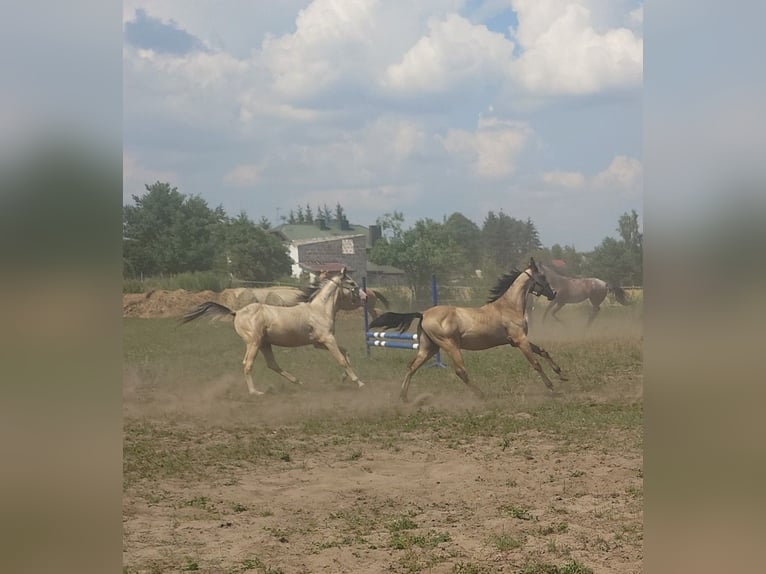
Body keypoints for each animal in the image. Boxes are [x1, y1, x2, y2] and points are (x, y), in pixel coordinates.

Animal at [180, 268, 364, 396]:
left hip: (264, 344)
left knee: (272, 364)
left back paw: (298, 381)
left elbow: (345, 353)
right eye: (352, 284)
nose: (364, 296)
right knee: (248, 364)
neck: (319, 310)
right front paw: (358, 381)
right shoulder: (327, 339)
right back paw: (255, 392)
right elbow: (341, 358)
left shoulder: (319, 342)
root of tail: (236, 312)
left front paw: (344, 377)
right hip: (254, 343)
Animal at [368, 258, 568, 402]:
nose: (553, 294)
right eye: (542, 277)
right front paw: (551, 386)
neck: (509, 306)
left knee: (412, 366)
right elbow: (535, 362)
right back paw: (481, 394)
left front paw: (561, 374)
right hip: (450, 346)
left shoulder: (517, 340)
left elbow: (543, 351)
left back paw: (404, 397)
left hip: (428, 348)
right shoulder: (520, 340)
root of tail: (423, 313)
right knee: (460, 371)